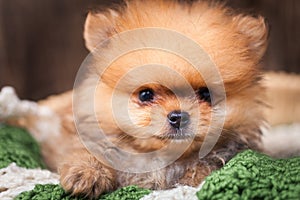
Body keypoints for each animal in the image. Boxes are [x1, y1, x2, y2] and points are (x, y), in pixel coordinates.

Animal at [7, 0, 268, 198]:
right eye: (145, 94)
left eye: (205, 94)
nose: (178, 116)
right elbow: (85, 152)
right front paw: (86, 174)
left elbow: (205, 166)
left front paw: (196, 176)